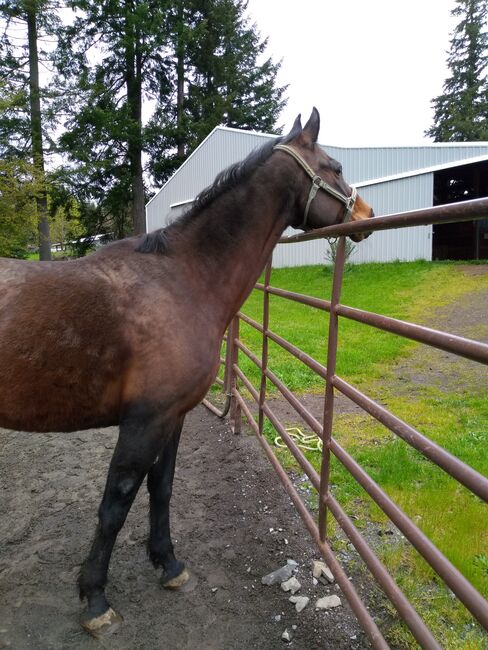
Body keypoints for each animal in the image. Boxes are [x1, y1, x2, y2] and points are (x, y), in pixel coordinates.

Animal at [0, 109, 374, 636]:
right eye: (334, 166)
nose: (364, 215)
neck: (183, 279)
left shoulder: (172, 417)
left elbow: (162, 488)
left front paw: (168, 565)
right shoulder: (145, 421)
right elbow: (115, 503)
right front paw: (95, 599)